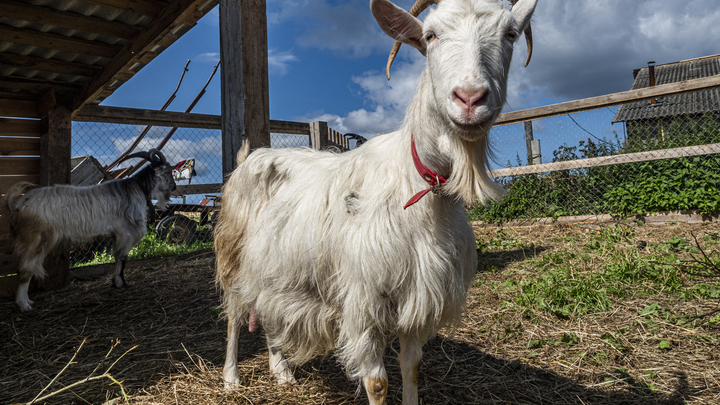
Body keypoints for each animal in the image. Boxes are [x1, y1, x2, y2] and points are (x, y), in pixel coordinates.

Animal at [4, 148, 176, 310]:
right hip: (36, 238)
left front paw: (115, 282)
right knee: (25, 269)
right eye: (168, 172)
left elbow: (116, 257)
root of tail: (19, 204)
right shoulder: (125, 232)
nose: (174, 187)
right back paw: (23, 304)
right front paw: (121, 283)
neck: (136, 189)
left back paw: (27, 301)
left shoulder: (116, 235)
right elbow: (122, 257)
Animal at [214, 1, 536, 402]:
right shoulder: (363, 300)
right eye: (430, 36)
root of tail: (249, 156)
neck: (417, 186)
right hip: (233, 255)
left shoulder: (417, 296)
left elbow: (412, 367)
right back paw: (230, 377)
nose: (470, 98)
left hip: (276, 266)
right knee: (234, 315)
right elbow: (377, 381)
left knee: (269, 310)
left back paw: (282, 371)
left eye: (510, 34)